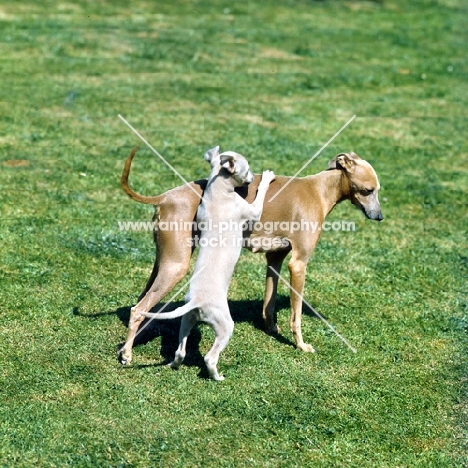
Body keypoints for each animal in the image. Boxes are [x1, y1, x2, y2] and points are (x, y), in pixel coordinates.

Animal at [141, 146, 276, 380]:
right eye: (248, 168)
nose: (252, 178)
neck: (218, 192)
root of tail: (198, 301)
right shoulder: (250, 211)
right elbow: (259, 199)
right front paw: (267, 177)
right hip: (225, 325)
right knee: (210, 357)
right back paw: (217, 376)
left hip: (187, 319)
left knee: (180, 351)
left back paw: (173, 365)